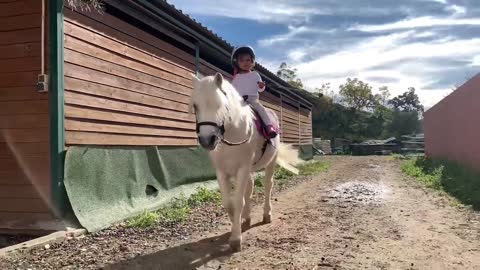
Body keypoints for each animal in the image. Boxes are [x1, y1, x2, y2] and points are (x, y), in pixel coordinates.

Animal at [190, 72, 300, 251]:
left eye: (220, 105)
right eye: (195, 106)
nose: (207, 140)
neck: (232, 133)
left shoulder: (242, 168)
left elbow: (238, 201)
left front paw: (236, 238)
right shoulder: (222, 172)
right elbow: (229, 203)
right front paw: (237, 225)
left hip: (270, 163)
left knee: (268, 186)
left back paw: (266, 214)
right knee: (250, 188)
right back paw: (247, 218)